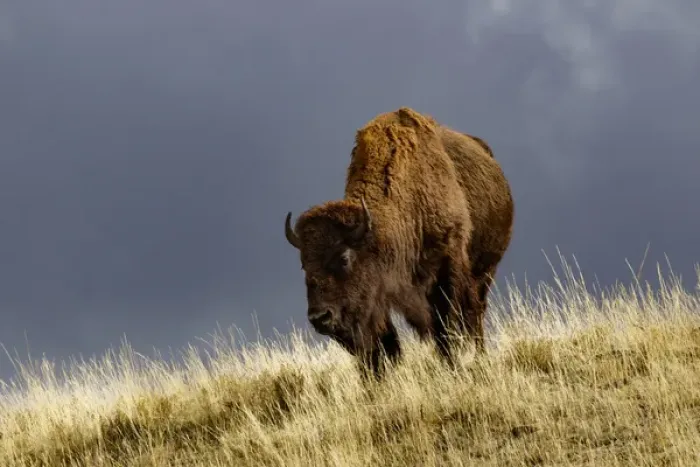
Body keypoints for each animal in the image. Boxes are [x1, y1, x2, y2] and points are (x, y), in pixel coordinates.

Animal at [284, 107, 514, 376]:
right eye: (304, 265)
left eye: (344, 257)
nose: (320, 317)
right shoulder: (378, 291)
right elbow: (384, 341)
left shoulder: (447, 267)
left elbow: (445, 325)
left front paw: (452, 365)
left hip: (486, 271)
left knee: (476, 311)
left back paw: (479, 354)